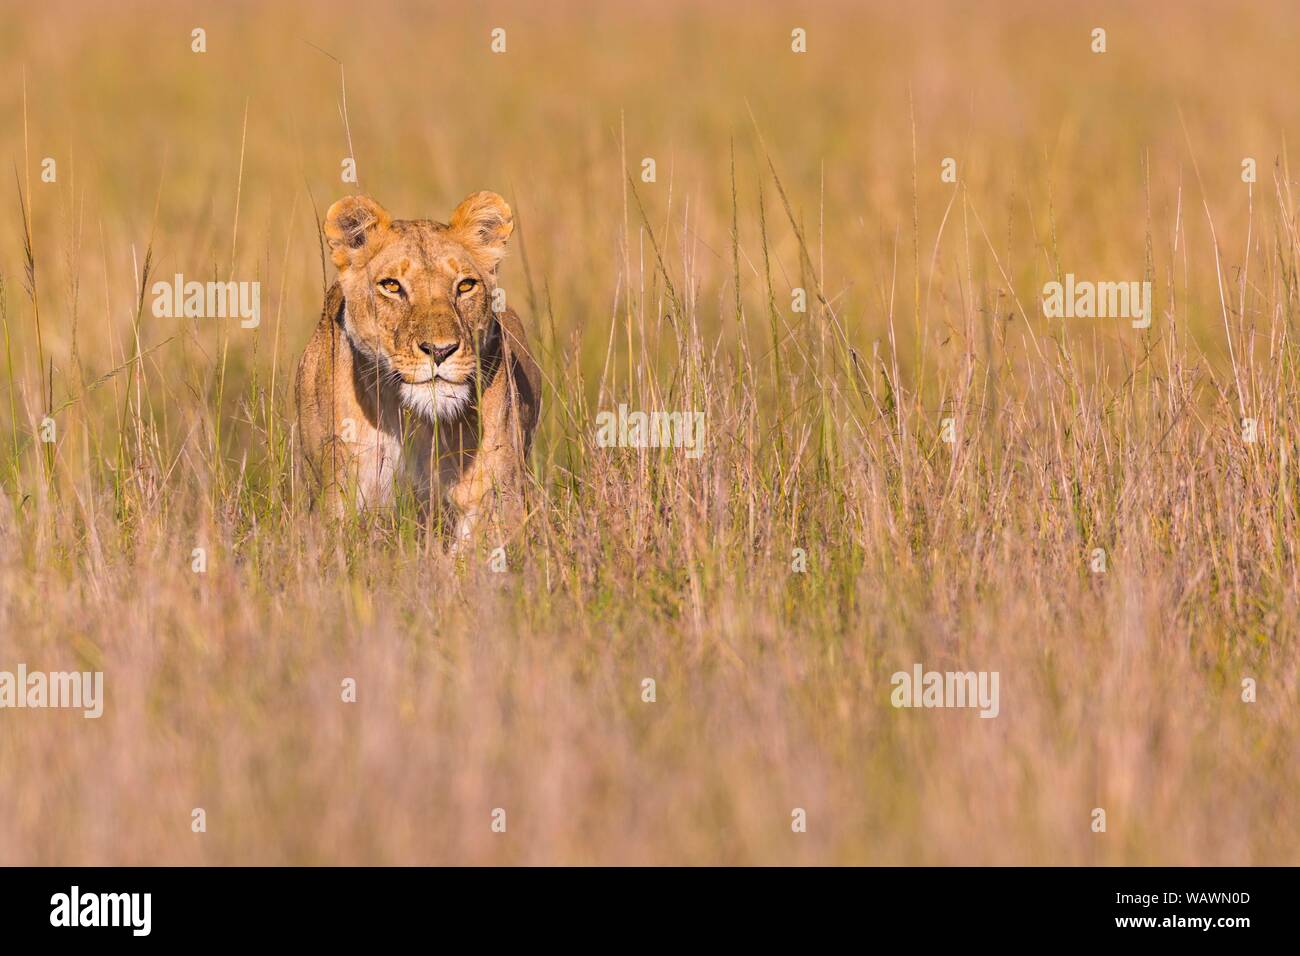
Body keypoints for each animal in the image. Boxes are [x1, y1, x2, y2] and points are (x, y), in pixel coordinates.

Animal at [294, 191, 541, 543]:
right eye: (391, 286)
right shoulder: (340, 493)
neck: (418, 421)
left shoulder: (494, 493)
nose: (440, 350)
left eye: (465, 286)